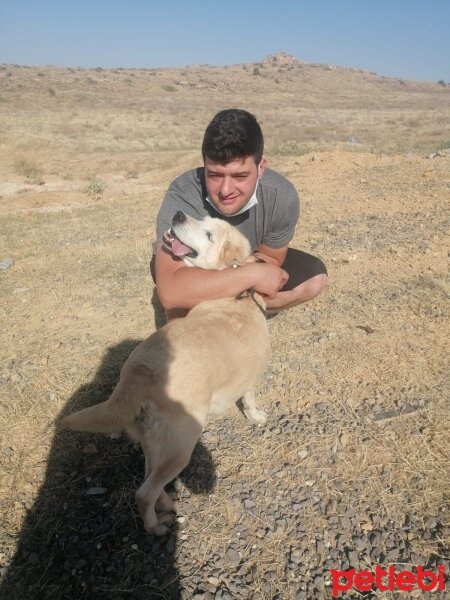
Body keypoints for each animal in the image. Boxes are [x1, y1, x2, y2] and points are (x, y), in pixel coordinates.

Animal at [61, 211, 268, 536]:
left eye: (209, 233)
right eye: (203, 222)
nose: (179, 214)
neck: (235, 296)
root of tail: (138, 371)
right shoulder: (250, 378)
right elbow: (249, 400)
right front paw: (257, 417)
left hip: (155, 444)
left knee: (152, 482)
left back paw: (169, 506)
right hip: (180, 446)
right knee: (144, 492)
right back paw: (156, 527)